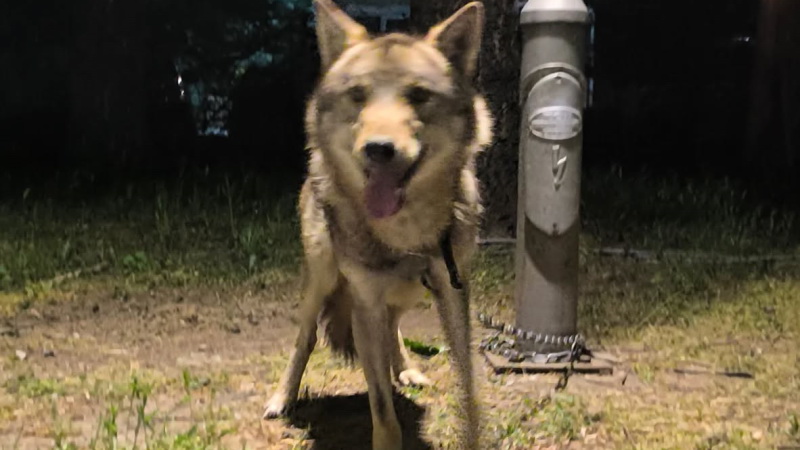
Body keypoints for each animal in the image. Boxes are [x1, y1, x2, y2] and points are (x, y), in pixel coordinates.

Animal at [262, 1, 493, 448]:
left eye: (419, 95)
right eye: (357, 95)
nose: (379, 149)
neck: (408, 234)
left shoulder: (455, 292)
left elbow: (469, 388)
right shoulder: (364, 302)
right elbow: (381, 406)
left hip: (410, 293)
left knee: (394, 328)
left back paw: (405, 369)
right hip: (322, 278)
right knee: (306, 338)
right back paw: (283, 398)